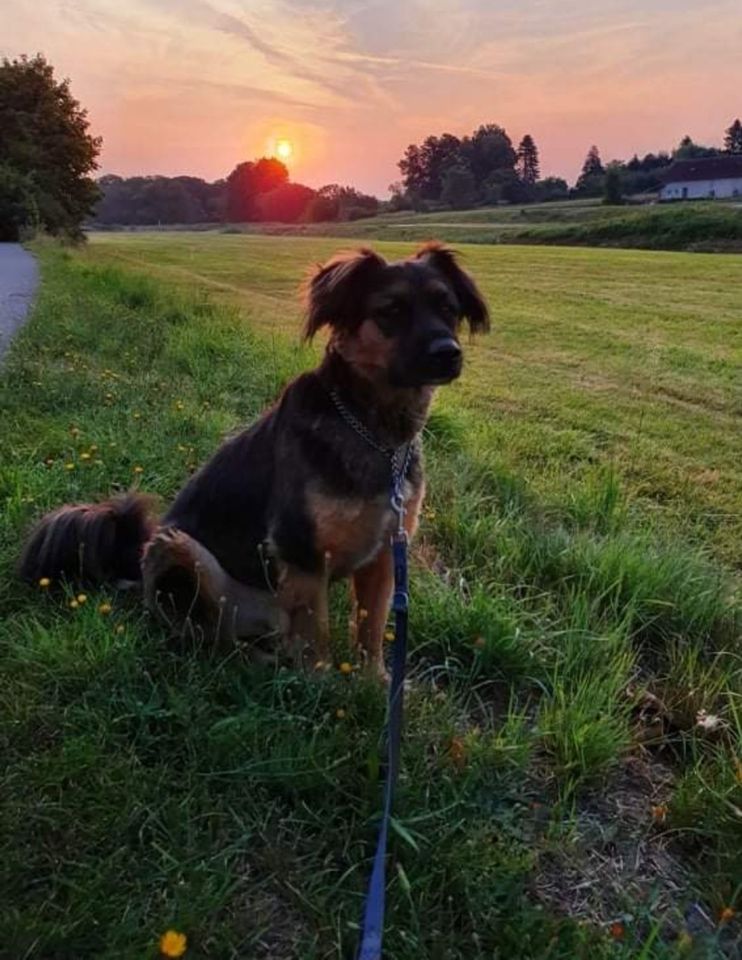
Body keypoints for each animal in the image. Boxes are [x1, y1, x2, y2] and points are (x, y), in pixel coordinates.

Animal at [17, 240, 492, 676]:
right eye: (391, 310)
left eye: (447, 307)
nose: (448, 352)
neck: (375, 431)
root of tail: (133, 559)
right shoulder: (301, 553)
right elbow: (317, 640)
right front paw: (322, 692)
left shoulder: (385, 552)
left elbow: (372, 632)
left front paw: (375, 688)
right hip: (181, 550)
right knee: (208, 637)